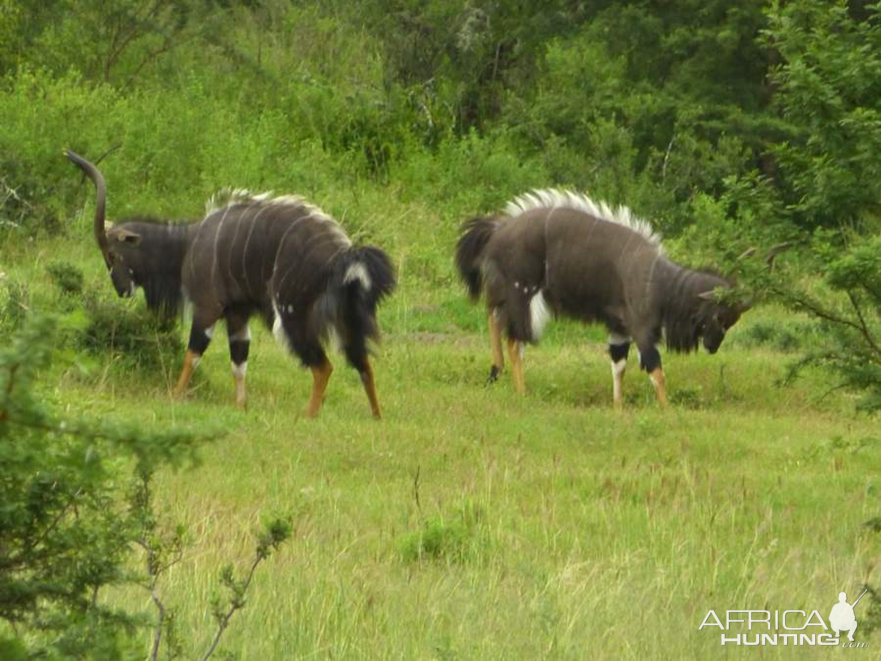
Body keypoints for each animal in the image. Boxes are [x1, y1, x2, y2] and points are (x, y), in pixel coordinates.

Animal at [67, 150, 398, 418]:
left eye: (112, 253)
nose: (121, 289)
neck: (186, 244)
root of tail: (341, 254)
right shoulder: (238, 314)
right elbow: (239, 362)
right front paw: (241, 405)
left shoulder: (208, 308)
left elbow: (192, 354)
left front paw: (175, 396)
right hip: (347, 317)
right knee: (363, 364)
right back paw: (376, 416)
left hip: (291, 315)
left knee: (323, 366)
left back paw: (309, 415)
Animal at [454, 189, 748, 408]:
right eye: (720, 315)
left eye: (732, 321)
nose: (713, 346)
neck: (659, 281)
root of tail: (496, 230)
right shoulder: (642, 330)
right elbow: (656, 371)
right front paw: (667, 410)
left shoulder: (618, 329)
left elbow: (619, 366)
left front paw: (618, 407)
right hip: (524, 296)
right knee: (515, 340)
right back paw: (522, 393)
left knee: (494, 317)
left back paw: (495, 371)